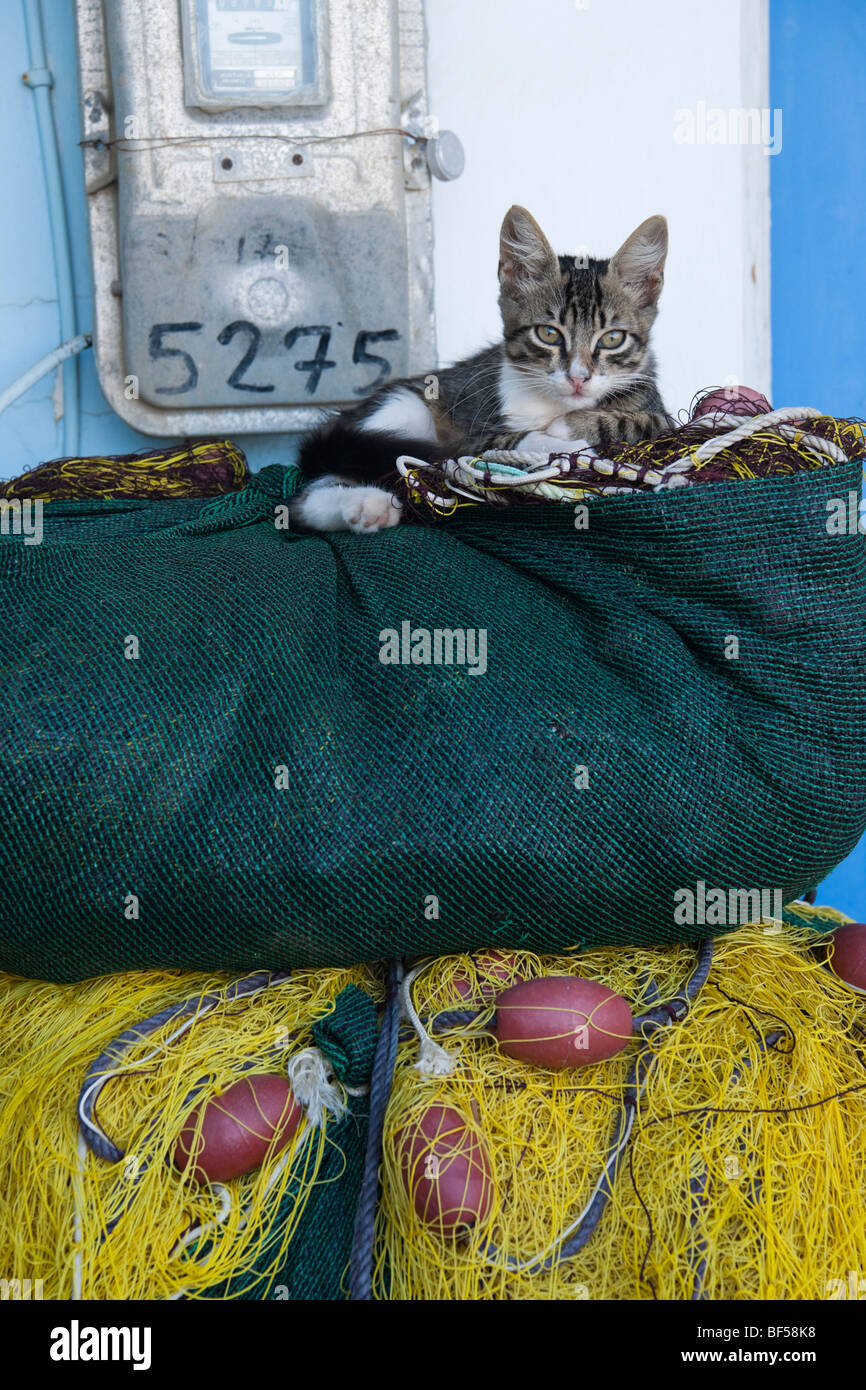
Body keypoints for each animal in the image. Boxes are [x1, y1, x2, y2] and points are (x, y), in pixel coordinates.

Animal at [291, 204, 670, 530]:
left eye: (612, 339)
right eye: (548, 334)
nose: (578, 378)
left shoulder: (660, 415)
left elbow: (634, 422)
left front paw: (570, 426)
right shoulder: (474, 436)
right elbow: (506, 441)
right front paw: (565, 443)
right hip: (404, 407)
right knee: (311, 492)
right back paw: (366, 504)